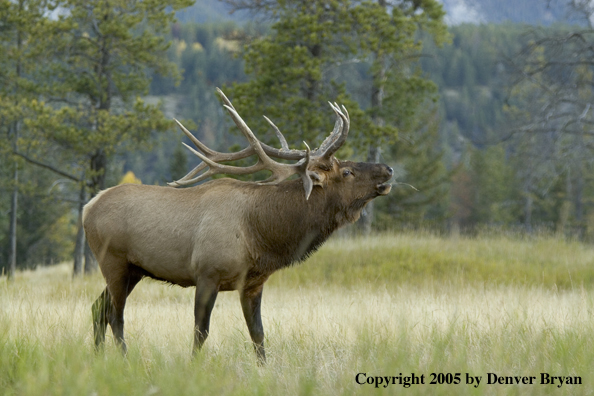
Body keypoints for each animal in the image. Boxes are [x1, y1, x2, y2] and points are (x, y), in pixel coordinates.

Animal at [82, 89, 388, 362]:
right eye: (347, 171)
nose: (388, 169)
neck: (262, 233)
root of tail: (87, 208)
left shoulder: (253, 283)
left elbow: (258, 334)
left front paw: (263, 369)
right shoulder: (207, 273)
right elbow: (201, 331)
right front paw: (194, 367)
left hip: (134, 270)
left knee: (98, 308)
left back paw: (98, 358)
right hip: (113, 262)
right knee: (115, 315)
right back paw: (124, 360)